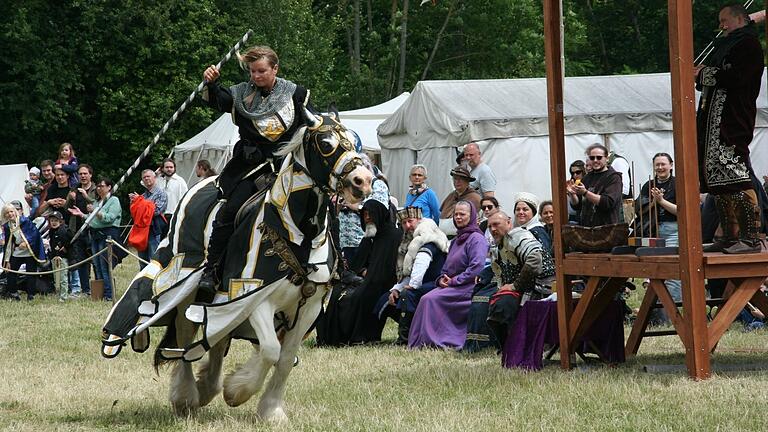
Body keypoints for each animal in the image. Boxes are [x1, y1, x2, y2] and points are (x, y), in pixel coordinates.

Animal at [100, 111, 374, 418]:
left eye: (354, 141)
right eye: (325, 144)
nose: (363, 181)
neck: (295, 231)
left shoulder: (308, 308)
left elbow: (284, 357)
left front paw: (270, 409)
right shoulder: (253, 297)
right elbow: (270, 349)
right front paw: (237, 392)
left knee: (216, 340)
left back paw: (207, 386)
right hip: (186, 293)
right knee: (185, 343)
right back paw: (186, 397)